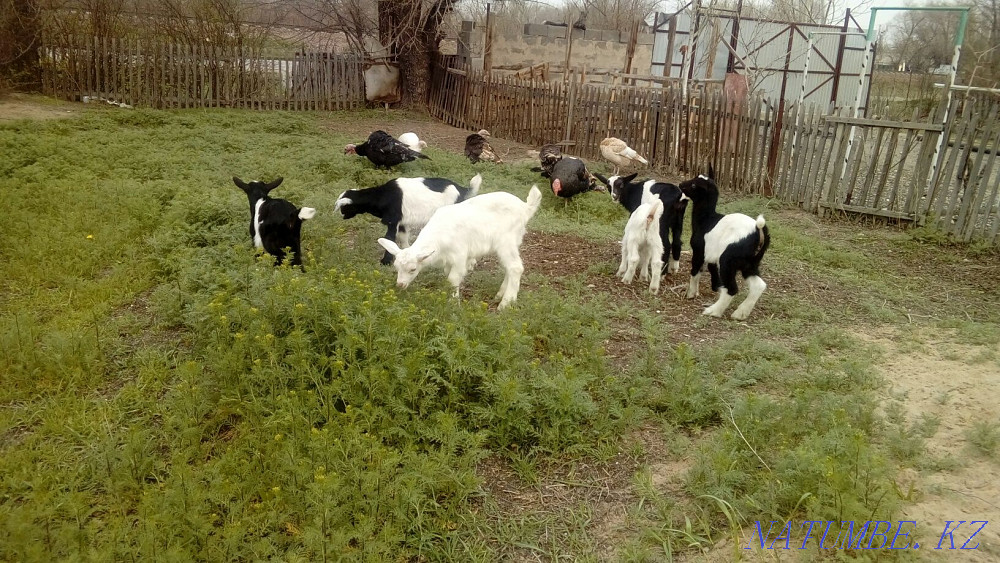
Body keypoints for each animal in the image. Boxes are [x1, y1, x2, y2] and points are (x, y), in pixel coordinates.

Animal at [335, 174, 482, 265]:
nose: (342, 216)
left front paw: (385, 262)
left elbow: (389, 238)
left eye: (344, 208)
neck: (382, 196)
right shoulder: (402, 222)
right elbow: (403, 239)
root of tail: (463, 190)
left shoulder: (393, 220)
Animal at [377, 186, 543, 310]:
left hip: (506, 241)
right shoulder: (448, 260)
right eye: (396, 267)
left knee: (515, 267)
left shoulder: (459, 254)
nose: (400, 285)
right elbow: (448, 276)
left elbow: (453, 278)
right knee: (511, 267)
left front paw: (453, 302)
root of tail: (525, 207)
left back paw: (505, 304)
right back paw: (499, 295)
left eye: (413, 269)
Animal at [678, 166, 770, 320]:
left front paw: (690, 294)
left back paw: (713, 311)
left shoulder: (699, 251)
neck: (706, 220)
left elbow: (695, 271)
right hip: (750, 263)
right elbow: (712, 272)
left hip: (728, 259)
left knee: (732, 288)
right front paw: (714, 288)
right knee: (758, 285)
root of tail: (759, 231)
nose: (680, 185)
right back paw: (740, 314)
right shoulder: (712, 257)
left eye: (694, 185)